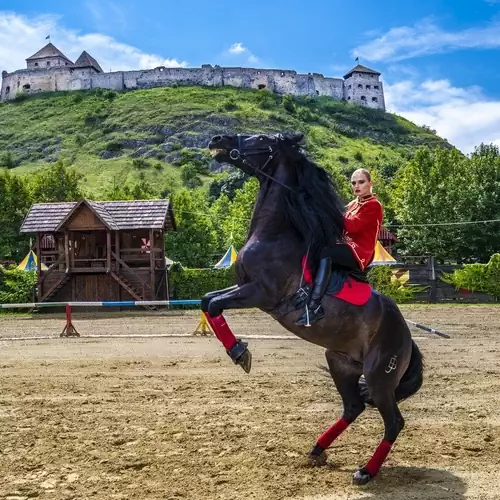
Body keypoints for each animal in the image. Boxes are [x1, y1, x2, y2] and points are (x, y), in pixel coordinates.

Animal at [201, 132, 424, 484]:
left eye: (261, 138)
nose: (218, 139)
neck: (274, 235)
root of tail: (406, 338)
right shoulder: (244, 288)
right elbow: (207, 300)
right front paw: (238, 351)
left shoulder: (260, 293)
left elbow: (213, 304)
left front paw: (240, 353)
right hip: (340, 363)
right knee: (353, 408)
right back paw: (318, 449)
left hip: (379, 377)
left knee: (393, 422)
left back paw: (366, 471)